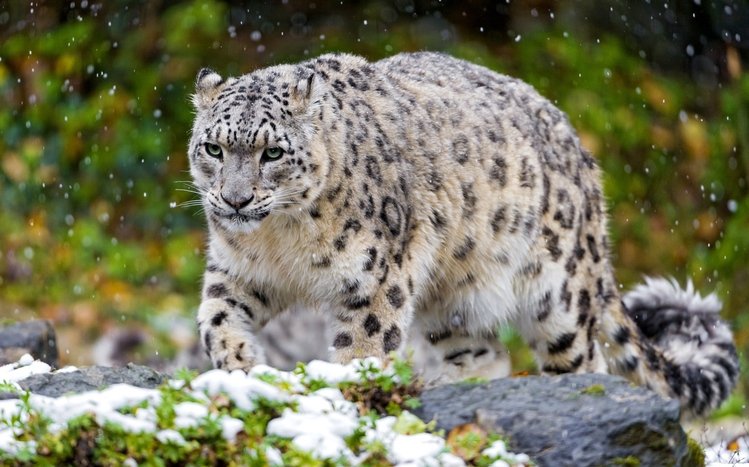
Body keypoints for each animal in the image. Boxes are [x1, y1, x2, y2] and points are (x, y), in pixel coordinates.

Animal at [187, 51, 738, 417]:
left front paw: (346, 395)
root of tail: (583, 157)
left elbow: (362, 350)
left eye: (272, 152)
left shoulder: (373, 283)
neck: (280, 240)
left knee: (588, 358)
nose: (234, 200)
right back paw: (443, 384)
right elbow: (215, 319)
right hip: (453, 295)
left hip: (559, 295)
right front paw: (242, 366)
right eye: (213, 148)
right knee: (487, 353)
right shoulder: (237, 272)